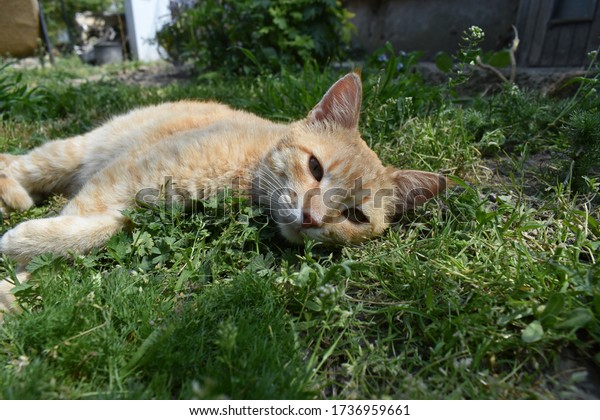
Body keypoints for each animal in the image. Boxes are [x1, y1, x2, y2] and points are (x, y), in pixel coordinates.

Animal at [0, 73, 446, 316]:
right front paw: (15, 271)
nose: (311, 217)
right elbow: (77, 221)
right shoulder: (128, 176)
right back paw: (16, 196)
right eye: (315, 167)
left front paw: (19, 275)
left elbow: (99, 229)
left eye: (355, 216)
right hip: (69, 155)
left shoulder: (136, 205)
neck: (245, 177)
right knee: (18, 163)